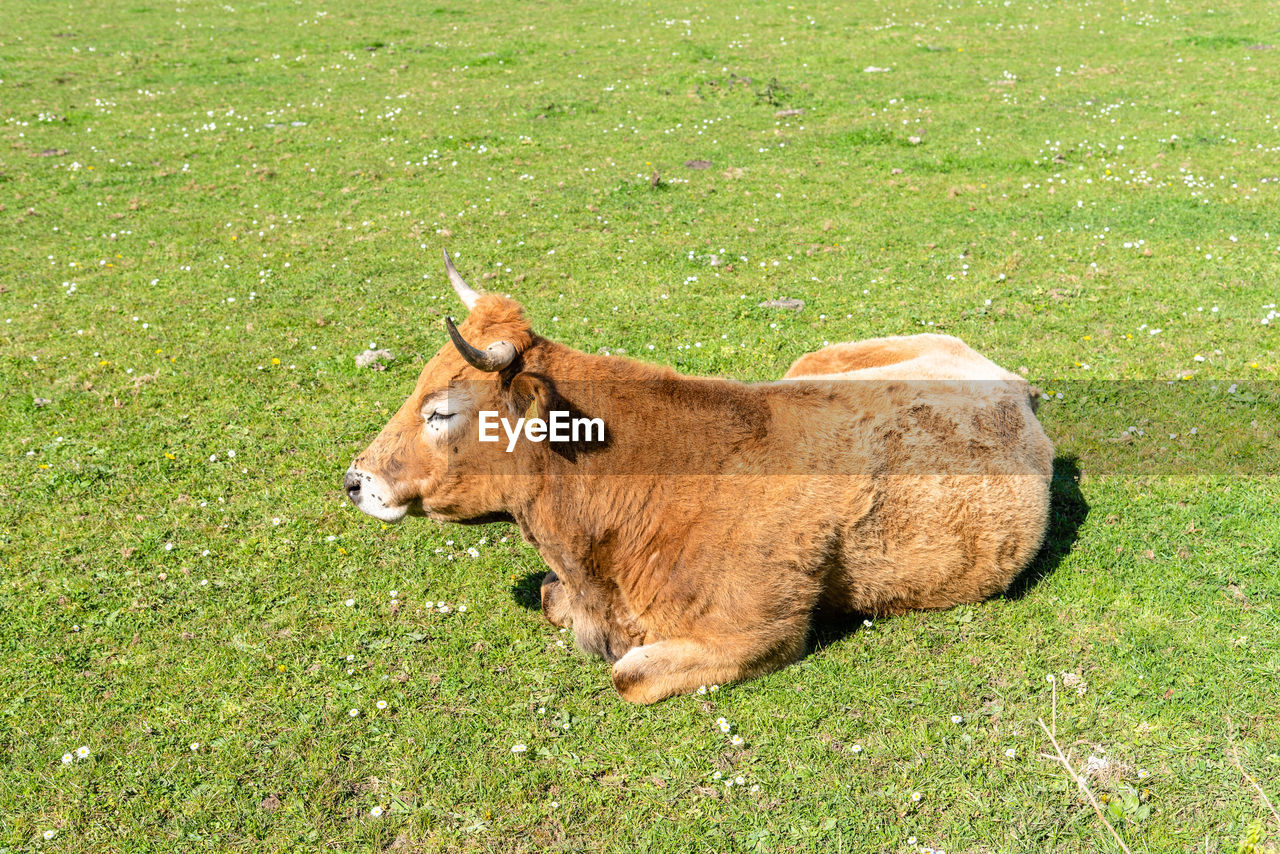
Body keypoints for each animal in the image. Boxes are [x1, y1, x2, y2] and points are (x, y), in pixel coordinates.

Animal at [345, 250, 1054, 706]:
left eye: (441, 410)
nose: (355, 480)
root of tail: (1011, 381)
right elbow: (550, 599)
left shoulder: (760, 632)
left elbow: (627, 675)